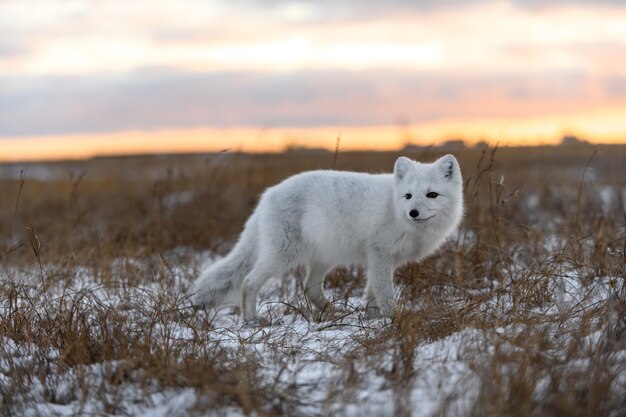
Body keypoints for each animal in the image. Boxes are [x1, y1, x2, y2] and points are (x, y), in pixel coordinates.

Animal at [191, 154, 464, 320]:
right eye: (408, 196)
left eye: (431, 194)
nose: (413, 212)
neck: (395, 210)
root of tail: (268, 194)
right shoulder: (380, 254)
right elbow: (384, 291)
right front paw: (392, 319)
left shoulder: (385, 259)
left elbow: (371, 292)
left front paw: (372, 319)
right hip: (282, 255)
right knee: (249, 282)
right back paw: (251, 321)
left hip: (322, 257)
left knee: (309, 287)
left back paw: (332, 313)